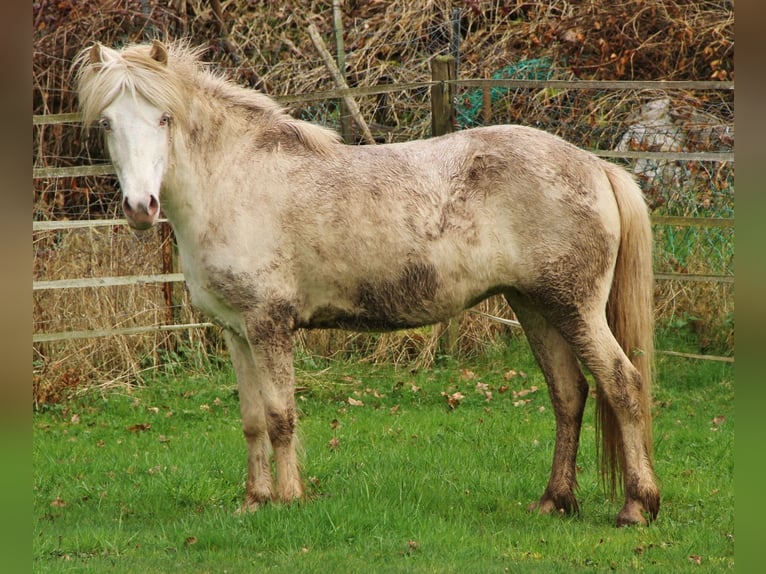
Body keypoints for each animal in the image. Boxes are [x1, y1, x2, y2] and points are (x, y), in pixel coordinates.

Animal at [73, 39, 660, 528]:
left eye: (163, 118)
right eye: (106, 124)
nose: (140, 207)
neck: (234, 181)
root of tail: (595, 166)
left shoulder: (268, 326)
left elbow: (281, 416)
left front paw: (289, 499)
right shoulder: (237, 332)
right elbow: (252, 421)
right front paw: (254, 501)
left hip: (574, 308)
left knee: (622, 384)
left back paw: (636, 507)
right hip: (534, 306)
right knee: (569, 393)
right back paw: (554, 500)